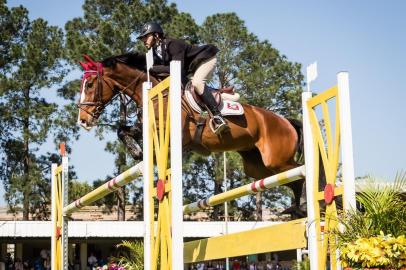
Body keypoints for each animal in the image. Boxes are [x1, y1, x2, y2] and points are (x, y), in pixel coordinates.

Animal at [77, 53, 304, 217]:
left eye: (90, 85)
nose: (83, 120)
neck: (158, 95)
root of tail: (286, 122)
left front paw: (139, 152)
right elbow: (123, 131)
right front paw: (136, 151)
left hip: (277, 159)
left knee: (299, 172)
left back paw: (300, 206)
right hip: (257, 167)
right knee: (287, 179)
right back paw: (295, 210)